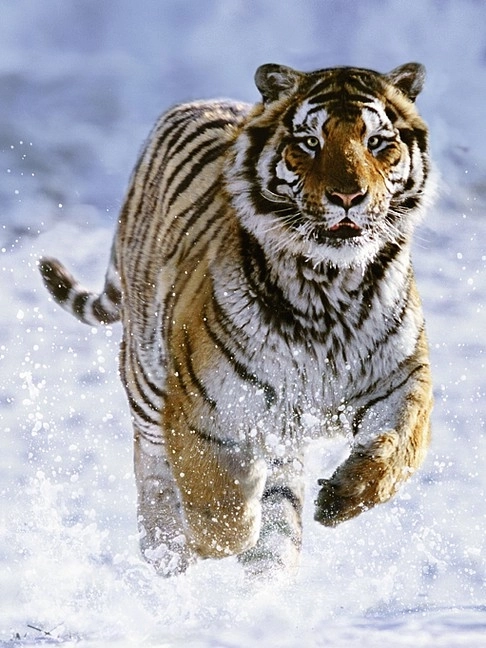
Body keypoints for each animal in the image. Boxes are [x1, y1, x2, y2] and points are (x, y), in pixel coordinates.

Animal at [39, 62, 434, 579]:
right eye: (310, 142)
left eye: (377, 142)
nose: (348, 196)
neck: (328, 287)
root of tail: (196, 102)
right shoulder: (203, 409)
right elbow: (222, 514)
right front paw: (206, 537)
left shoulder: (402, 378)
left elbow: (399, 448)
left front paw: (341, 497)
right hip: (146, 380)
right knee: (152, 470)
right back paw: (166, 550)